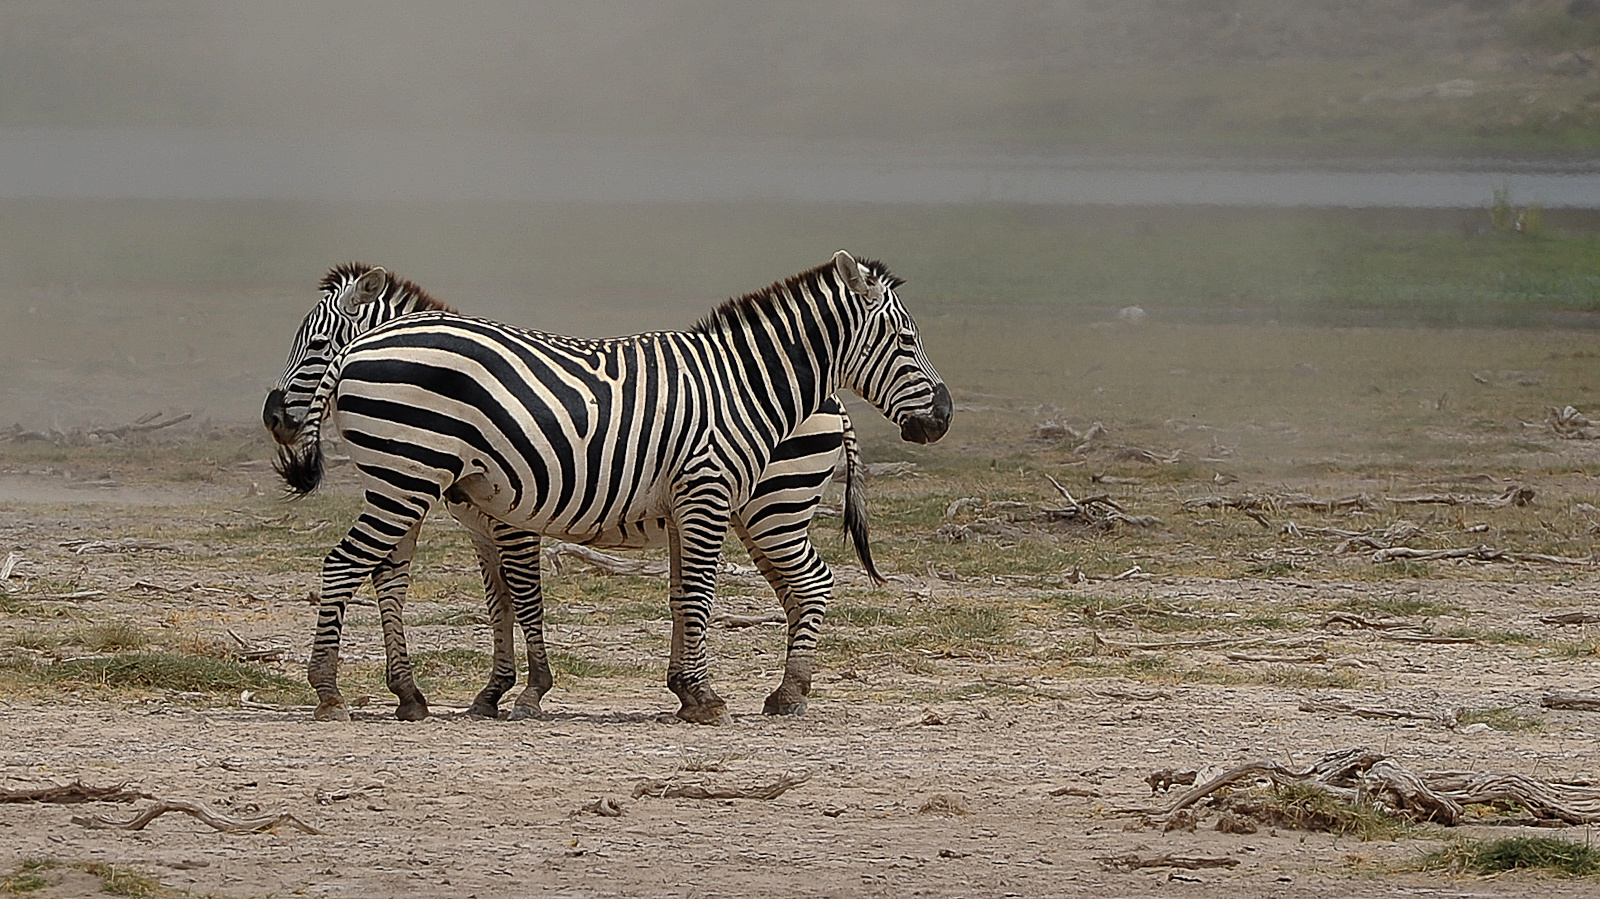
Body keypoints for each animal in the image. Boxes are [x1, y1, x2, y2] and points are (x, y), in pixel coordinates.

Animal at [275, 249, 947, 719]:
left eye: (316, 342)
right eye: (907, 338)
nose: (941, 416)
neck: (743, 381)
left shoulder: (520, 517)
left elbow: (531, 599)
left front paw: (517, 693)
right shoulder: (685, 497)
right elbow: (530, 599)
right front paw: (693, 696)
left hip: (770, 505)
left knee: (807, 583)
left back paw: (790, 691)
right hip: (404, 477)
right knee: (346, 566)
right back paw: (331, 692)